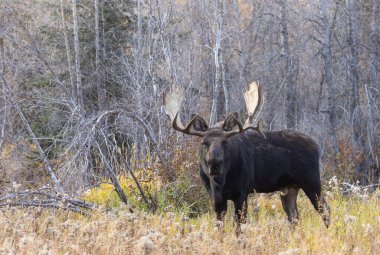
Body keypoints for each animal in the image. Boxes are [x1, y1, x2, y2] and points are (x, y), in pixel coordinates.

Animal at [165, 82, 332, 232]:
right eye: (204, 143)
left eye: (225, 142)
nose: (215, 163)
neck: (219, 183)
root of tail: (316, 145)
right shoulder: (215, 198)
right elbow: (219, 228)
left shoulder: (242, 193)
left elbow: (239, 227)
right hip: (289, 188)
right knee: (294, 216)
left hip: (311, 181)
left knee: (325, 209)